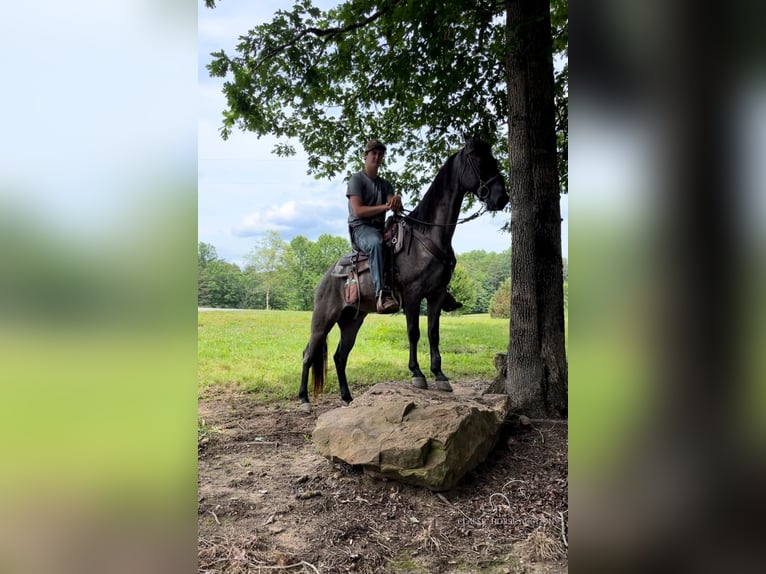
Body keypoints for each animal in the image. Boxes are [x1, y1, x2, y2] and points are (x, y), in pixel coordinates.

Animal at [298, 137, 510, 412]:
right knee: (309, 353)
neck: (429, 236)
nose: (501, 197)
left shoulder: (436, 295)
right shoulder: (412, 295)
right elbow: (414, 332)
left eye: (493, 158)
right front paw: (417, 374)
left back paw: (347, 397)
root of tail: (325, 277)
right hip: (323, 318)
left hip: (352, 320)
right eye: (478, 160)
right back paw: (304, 400)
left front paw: (439, 375)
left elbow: (433, 333)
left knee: (340, 356)